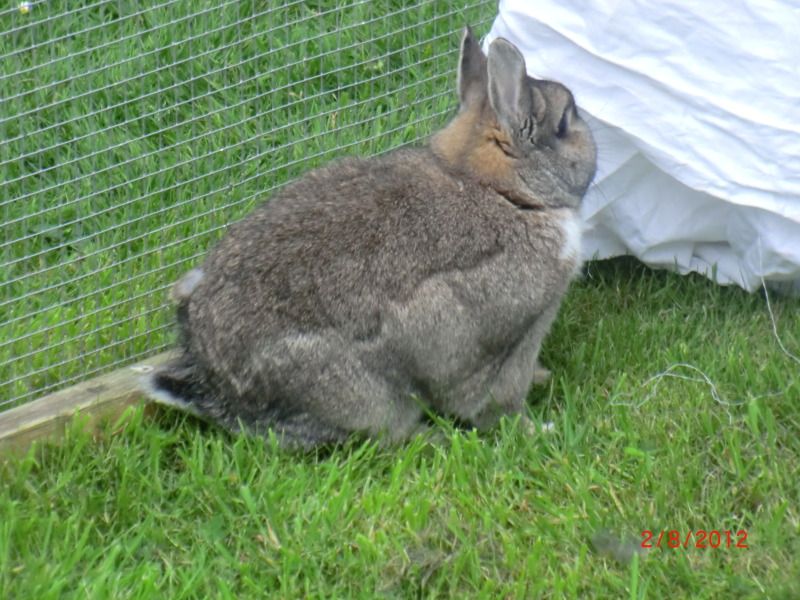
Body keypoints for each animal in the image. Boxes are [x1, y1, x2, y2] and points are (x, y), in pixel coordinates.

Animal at [142, 29, 592, 450]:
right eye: (564, 124)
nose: (591, 140)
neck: (501, 190)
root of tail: (221, 393)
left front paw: (542, 380)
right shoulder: (509, 338)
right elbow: (496, 401)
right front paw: (537, 429)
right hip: (365, 393)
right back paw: (431, 437)